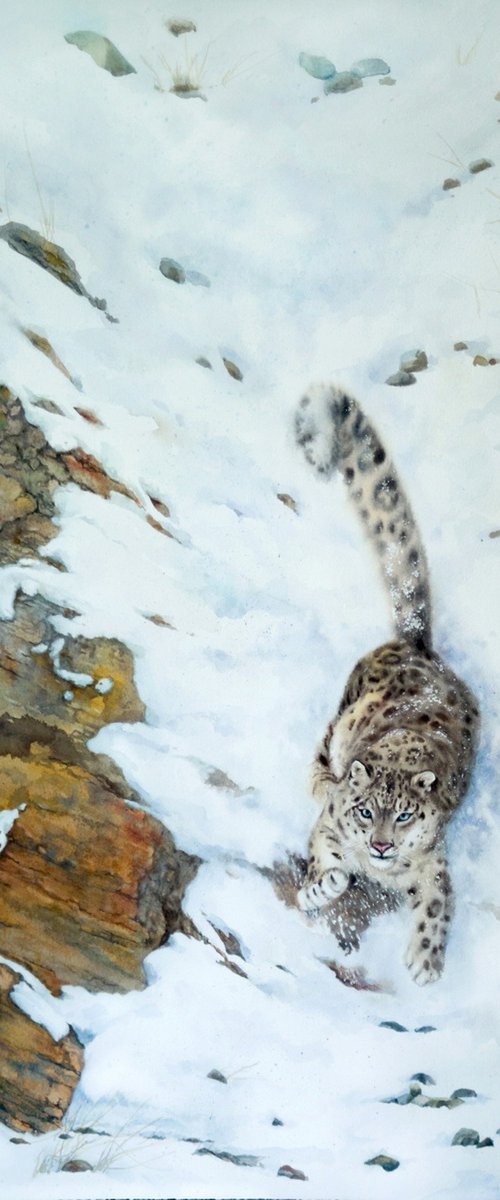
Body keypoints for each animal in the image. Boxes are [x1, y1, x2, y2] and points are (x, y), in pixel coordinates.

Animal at [294, 384, 479, 985]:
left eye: (404, 816)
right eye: (364, 811)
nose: (379, 846)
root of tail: (421, 646)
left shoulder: (433, 862)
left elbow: (439, 901)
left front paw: (425, 961)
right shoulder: (329, 828)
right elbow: (326, 861)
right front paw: (322, 887)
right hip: (341, 714)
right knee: (321, 750)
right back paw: (320, 779)